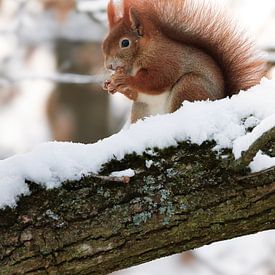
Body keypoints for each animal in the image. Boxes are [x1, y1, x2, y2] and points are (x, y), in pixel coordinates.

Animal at [102, 0, 268, 123]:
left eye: (125, 43)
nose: (109, 66)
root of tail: (223, 98)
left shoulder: (166, 59)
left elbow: (157, 80)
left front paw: (126, 80)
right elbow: (137, 93)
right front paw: (111, 84)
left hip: (189, 87)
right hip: (141, 108)